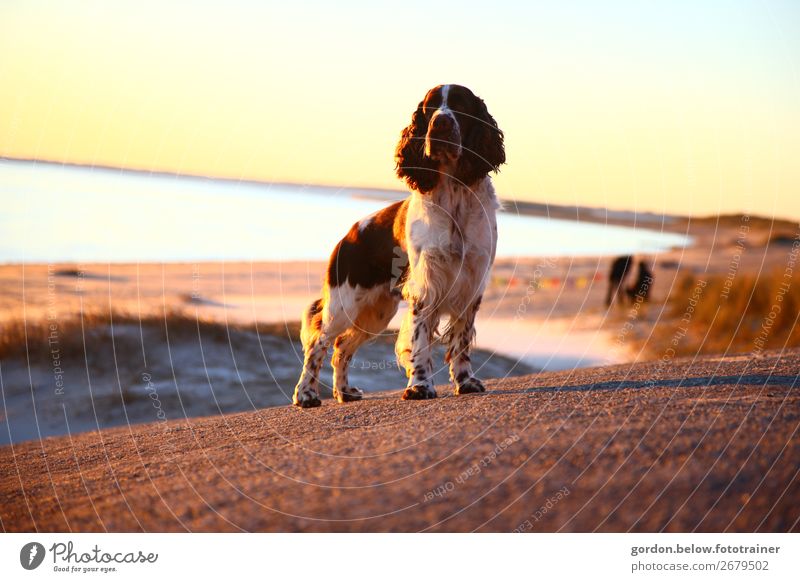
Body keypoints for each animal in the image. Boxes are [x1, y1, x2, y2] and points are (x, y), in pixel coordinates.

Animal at [294, 85, 506, 410]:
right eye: (430, 109)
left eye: (460, 105)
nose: (440, 124)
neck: (454, 194)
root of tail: (348, 235)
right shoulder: (427, 285)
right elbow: (420, 342)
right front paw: (419, 386)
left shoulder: (471, 282)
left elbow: (461, 341)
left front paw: (466, 382)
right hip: (345, 303)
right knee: (319, 343)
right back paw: (305, 394)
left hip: (376, 312)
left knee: (342, 346)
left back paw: (344, 392)